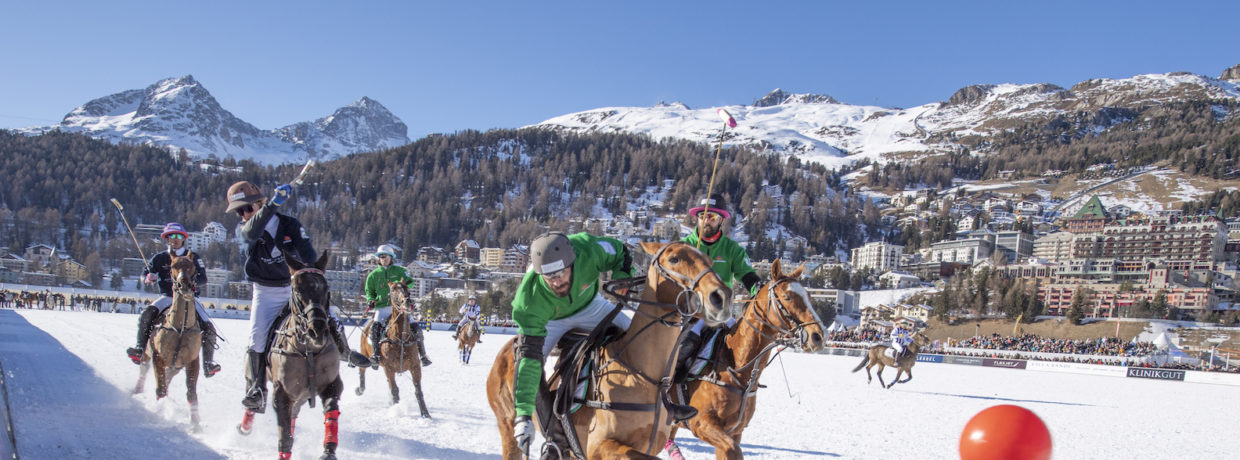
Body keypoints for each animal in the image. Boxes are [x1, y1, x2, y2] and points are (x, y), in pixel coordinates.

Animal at [133, 255, 203, 431]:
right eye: (172, 266)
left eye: (193, 266)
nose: (184, 285)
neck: (180, 328)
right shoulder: (158, 357)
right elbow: (161, 390)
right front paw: (158, 412)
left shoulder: (193, 361)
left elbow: (191, 392)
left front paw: (196, 425)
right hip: (147, 354)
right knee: (143, 370)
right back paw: (136, 392)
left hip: (175, 366)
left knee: (168, 378)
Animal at [359, 281, 431, 419]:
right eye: (392, 290)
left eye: (408, 289)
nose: (406, 301)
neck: (401, 338)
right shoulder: (389, 368)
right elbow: (395, 390)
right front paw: (396, 410)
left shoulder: (415, 366)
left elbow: (418, 390)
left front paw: (426, 414)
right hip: (364, 353)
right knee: (362, 370)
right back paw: (359, 390)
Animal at [486, 241, 734, 460]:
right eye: (674, 259)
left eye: (710, 261)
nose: (721, 297)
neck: (646, 377)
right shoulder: (599, 447)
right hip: (507, 424)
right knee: (531, 356)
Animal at [664, 261, 828, 458]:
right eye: (787, 297)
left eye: (809, 296)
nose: (818, 336)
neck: (735, 367)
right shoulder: (701, 422)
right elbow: (733, 449)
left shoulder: (735, 431)